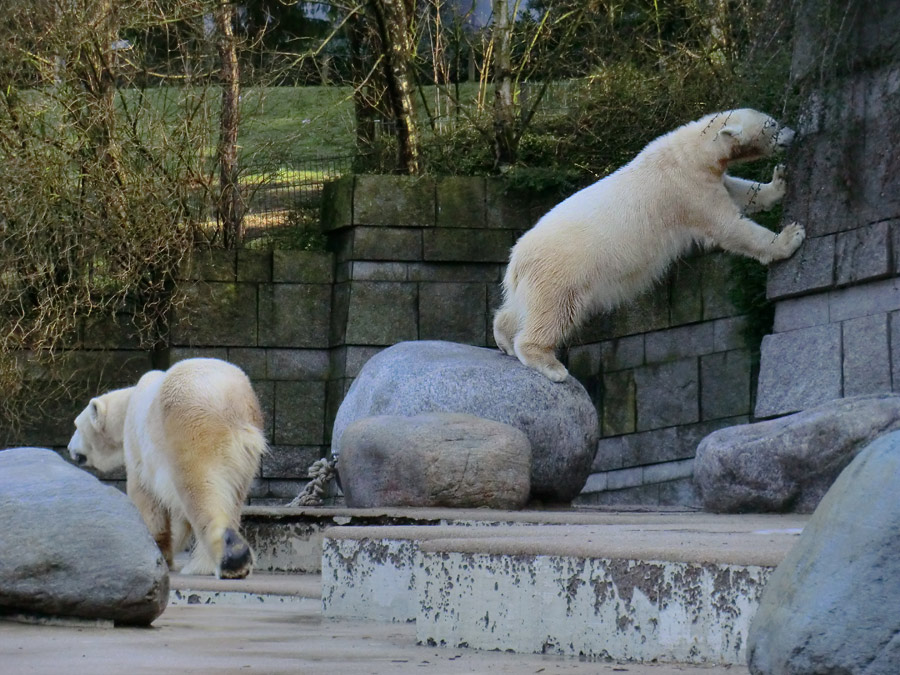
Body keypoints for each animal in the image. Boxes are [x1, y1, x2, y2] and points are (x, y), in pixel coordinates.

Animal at [67, 356, 268, 580]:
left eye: (76, 425)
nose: (69, 448)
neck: (128, 405)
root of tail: (232, 402)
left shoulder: (139, 449)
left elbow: (146, 498)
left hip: (189, 430)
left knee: (201, 491)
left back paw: (223, 561)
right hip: (245, 455)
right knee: (232, 499)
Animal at [496, 105, 804, 380]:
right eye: (772, 124)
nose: (793, 132)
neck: (692, 152)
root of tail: (516, 259)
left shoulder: (709, 178)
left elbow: (740, 191)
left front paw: (779, 181)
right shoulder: (687, 189)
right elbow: (730, 226)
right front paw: (791, 237)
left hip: (532, 281)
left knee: (517, 309)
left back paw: (503, 338)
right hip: (562, 272)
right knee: (554, 313)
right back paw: (548, 363)